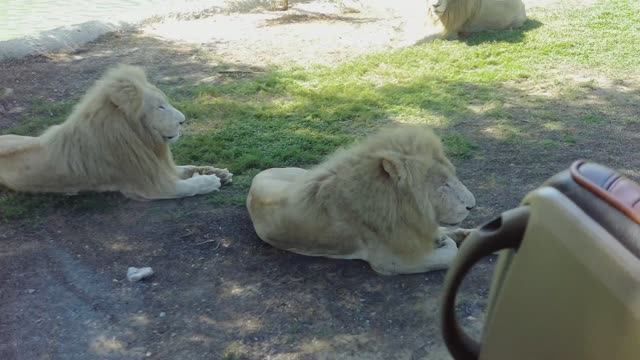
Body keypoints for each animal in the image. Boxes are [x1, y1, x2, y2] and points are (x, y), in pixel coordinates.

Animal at [0, 64, 230, 200]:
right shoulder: (150, 185)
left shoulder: (156, 164)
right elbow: (189, 187)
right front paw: (209, 181)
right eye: (160, 107)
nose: (183, 120)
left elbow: (188, 167)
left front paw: (217, 172)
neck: (143, 139)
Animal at [245, 125, 476, 274]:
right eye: (444, 184)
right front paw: (445, 242)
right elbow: (451, 253)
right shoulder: (390, 261)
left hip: (303, 173)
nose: (472, 206)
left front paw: (458, 236)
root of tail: (254, 180)